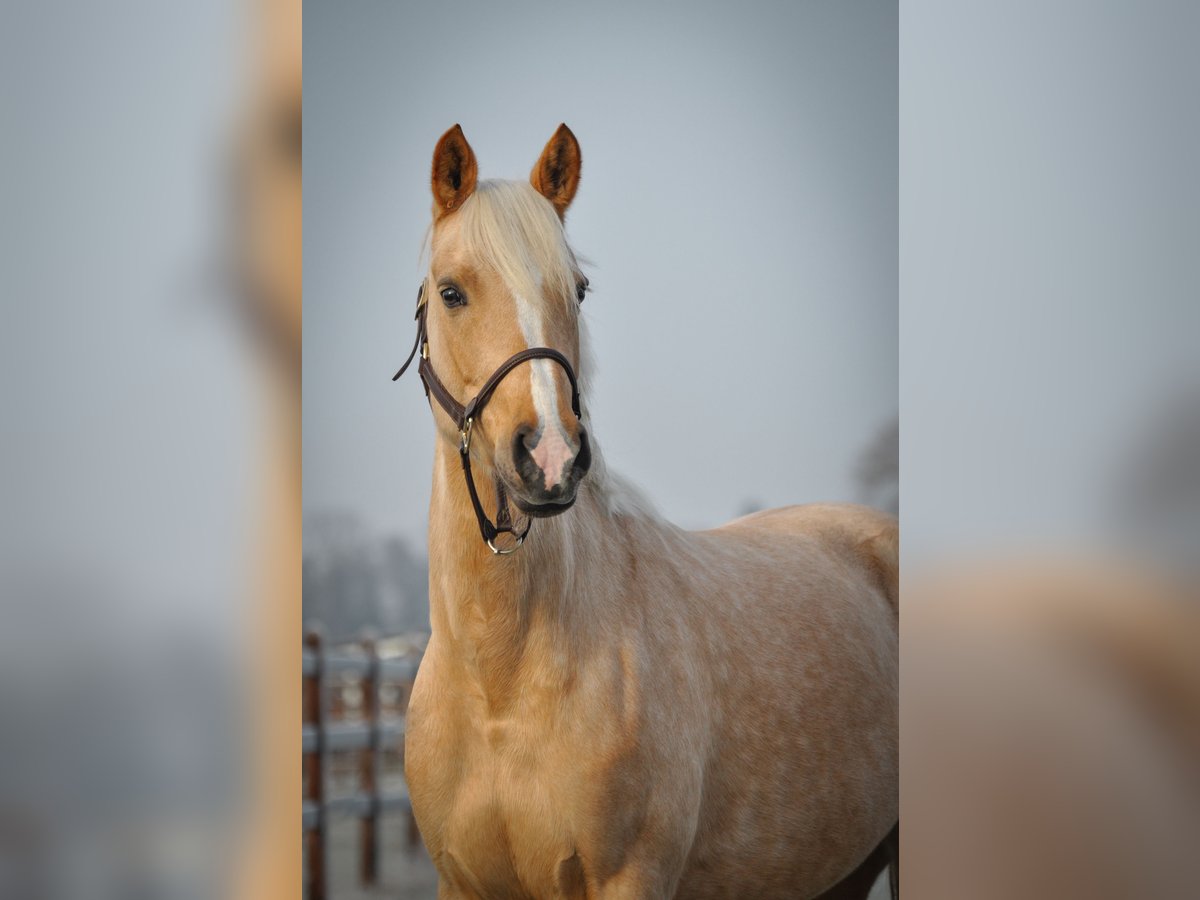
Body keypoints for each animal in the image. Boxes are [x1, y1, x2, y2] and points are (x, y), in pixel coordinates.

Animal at [396, 123, 898, 899]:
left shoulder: (630, 878)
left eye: (577, 289)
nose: (549, 454)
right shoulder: (463, 885)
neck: (500, 688)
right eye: (452, 292)